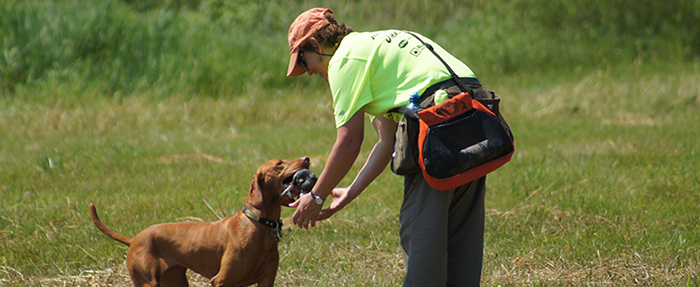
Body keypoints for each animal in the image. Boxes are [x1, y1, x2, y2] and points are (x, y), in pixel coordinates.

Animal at [90, 158, 314, 287]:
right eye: (279, 163)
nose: (307, 158)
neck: (258, 225)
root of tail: (134, 238)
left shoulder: (267, 280)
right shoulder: (221, 281)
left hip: (175, 281)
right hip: (147, 282)